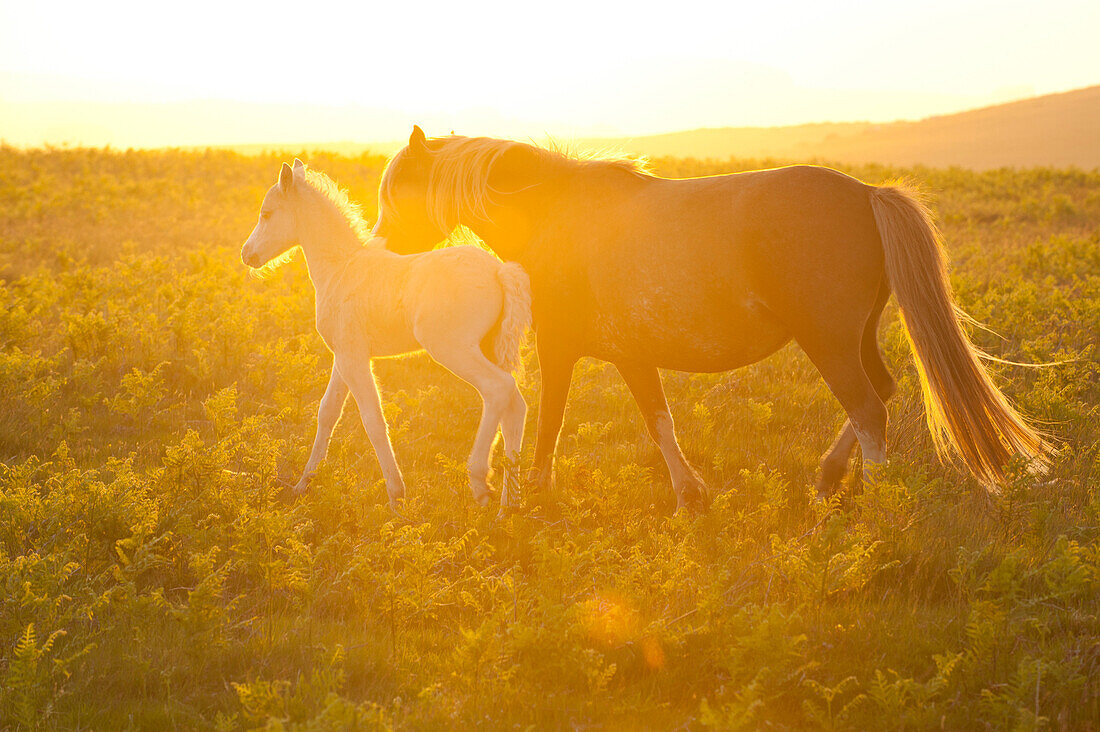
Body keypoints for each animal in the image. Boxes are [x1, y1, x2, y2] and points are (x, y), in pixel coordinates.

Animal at [242, 161, 532, 508]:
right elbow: (328, 412)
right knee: (516, 404)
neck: (341, 269)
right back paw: (509, 505)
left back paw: (479, 481)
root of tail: (499, 271)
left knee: (498, 389)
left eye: (267, 213)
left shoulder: (354, 359)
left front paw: (396, 495)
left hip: (452, 348)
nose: (247, 254)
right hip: (487, 347)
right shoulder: (345, 356)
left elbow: (373, 420)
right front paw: (303, 484)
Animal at [371, 127, 1047, 508]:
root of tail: (866, 195)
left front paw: (537, 495)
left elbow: (551, 424)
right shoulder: (631, 356)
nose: (380, 246)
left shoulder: (561, 349)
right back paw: (829, 479)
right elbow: (659, 422)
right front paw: (690, 495)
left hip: (828, 341)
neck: (554, 214)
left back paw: (875, 500)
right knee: (880, 392)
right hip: (856, 337)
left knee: (869, 408)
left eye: (397, 188)